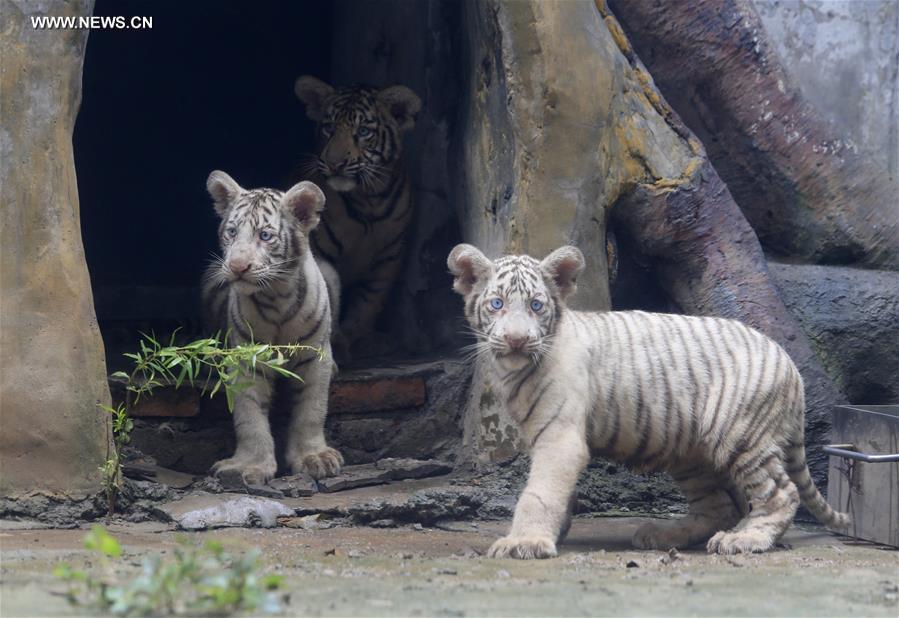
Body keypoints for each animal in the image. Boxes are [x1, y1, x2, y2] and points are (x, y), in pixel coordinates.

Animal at [201, 170, 343, 484]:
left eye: (265, 236)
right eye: (232, 232)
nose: (237, 266)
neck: (275, 296)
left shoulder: (314, 355)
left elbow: (312, 408)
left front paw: (314, 457)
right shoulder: (245, 359)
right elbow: (248, 414)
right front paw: (249, 465)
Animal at [293, 75, 422, 353]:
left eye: (363, 132)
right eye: (328, 127)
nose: (334, 163)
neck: (368, 200)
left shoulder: (389, 257)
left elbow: (369, 301)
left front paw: (358, 337)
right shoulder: (319, 251)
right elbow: (325, 293)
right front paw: (335, 343)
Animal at [448, 243, 849, 558]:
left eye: (535, 305)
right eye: (496, 304)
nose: (516, 340)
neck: (515, 371)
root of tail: (788, 361)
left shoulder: (559, 436)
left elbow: (540, 491)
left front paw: (525, 542)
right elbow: (558, 492)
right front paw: (552, 532)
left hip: (741, 434)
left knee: (781, 492)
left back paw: (745, 539)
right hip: (692, 454)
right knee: (721, 505)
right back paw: (666, 535)